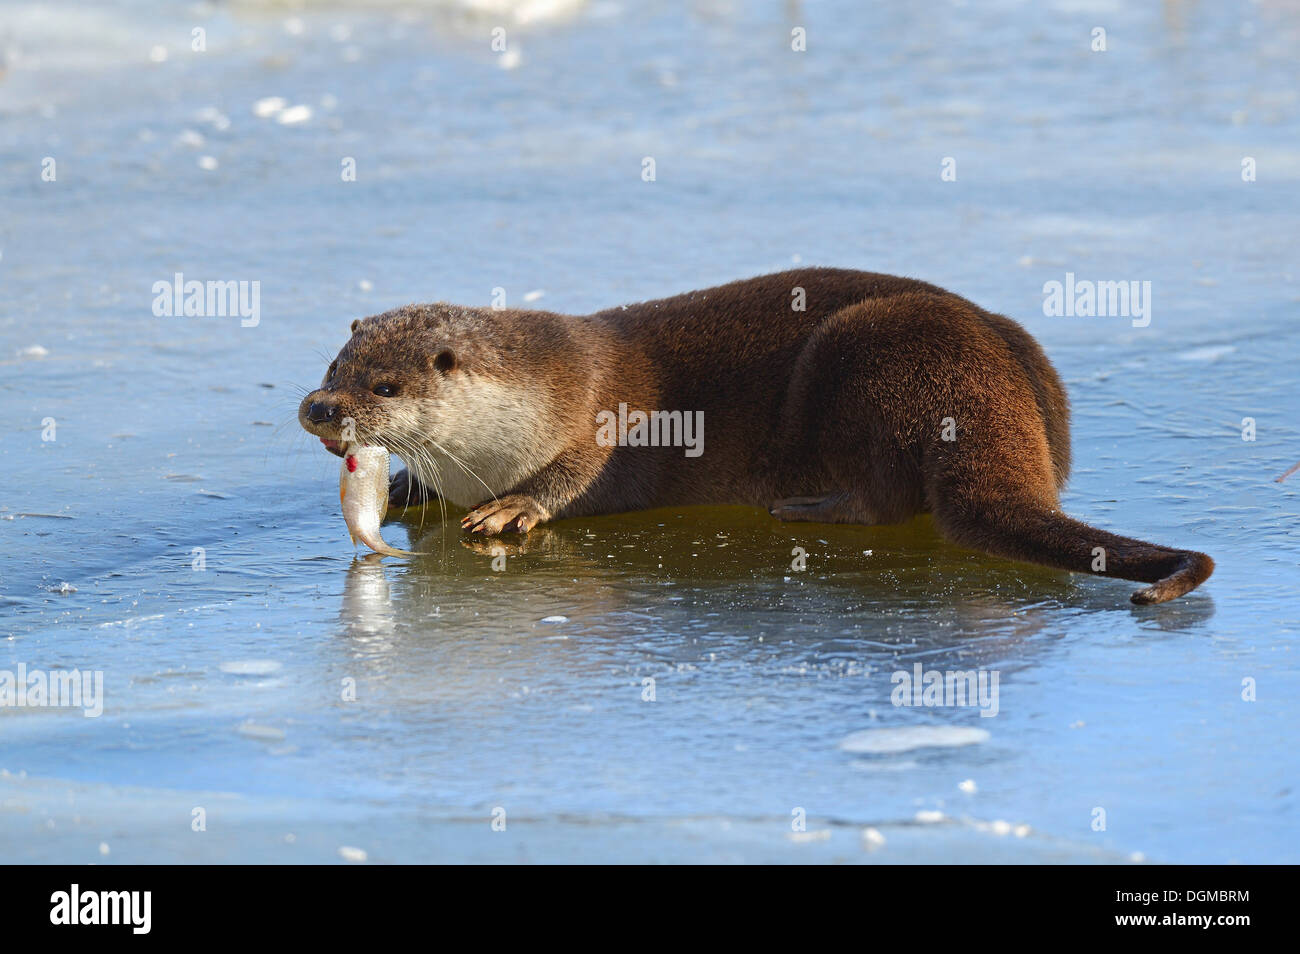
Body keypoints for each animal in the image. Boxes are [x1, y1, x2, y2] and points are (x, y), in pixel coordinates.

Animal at [299, 270, 1211, 605]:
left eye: (384, 387)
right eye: (335, 364)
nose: (318, 408)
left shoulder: (602, 418)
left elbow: (572, 478)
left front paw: (512, 509)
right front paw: (409, 491)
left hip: (872, 364)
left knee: (891, 496)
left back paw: (811, 508)